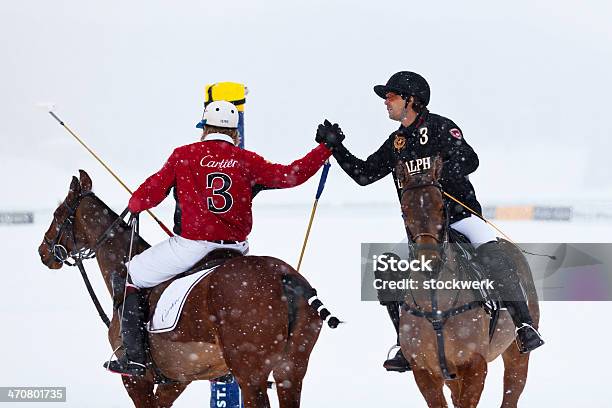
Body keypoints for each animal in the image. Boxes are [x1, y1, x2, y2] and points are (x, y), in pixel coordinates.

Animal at [37, 171, 340, 406]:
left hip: (250, 374)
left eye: (57, 213)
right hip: (292, 370)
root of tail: (285, 277)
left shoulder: (136, 380)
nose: (43, 251)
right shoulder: (178, 379)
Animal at [394, 159, 536, 408]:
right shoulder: (424, 371)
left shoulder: (474, 364)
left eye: (442, 207)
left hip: (516, 352)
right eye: (405, 210)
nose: (429, 261)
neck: (435, 302)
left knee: (512, 389)